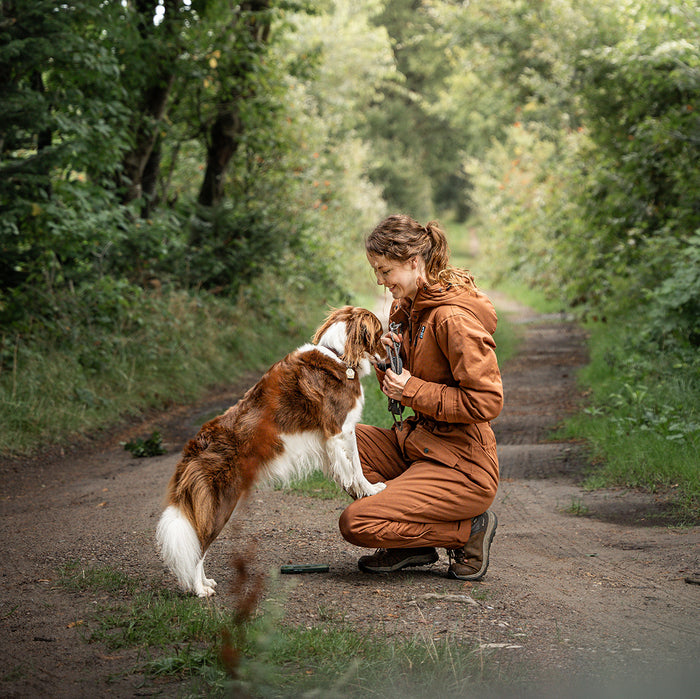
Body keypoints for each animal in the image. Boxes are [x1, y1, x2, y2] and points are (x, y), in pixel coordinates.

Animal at [155, 306, 386, 596]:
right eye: (379, 333)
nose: (388, 361)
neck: (337, 353)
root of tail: (195, 446)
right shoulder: (340, 430)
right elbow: (355, 467)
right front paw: (371, 490)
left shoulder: (331, 439)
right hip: (220, 503)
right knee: (199, 546)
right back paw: (200, 589)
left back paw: (205, 582)